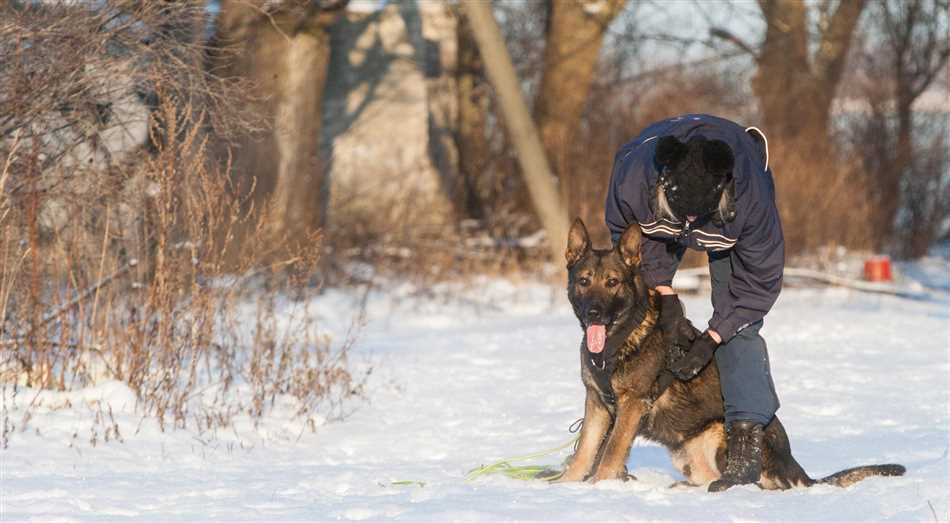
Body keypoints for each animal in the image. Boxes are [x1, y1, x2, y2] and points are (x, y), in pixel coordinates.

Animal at [564, 219, 908, 490]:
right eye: (584, 281)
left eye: (612, 282)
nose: (594, 313)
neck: (619, 339)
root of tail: (798, 470)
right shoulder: (597, 403)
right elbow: (584, 454)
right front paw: (565, 487)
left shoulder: (631, 406)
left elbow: (609, 455)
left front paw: (597, 488)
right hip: (685, 450)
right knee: (705, 477)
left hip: (721, 432)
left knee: (757, 484)